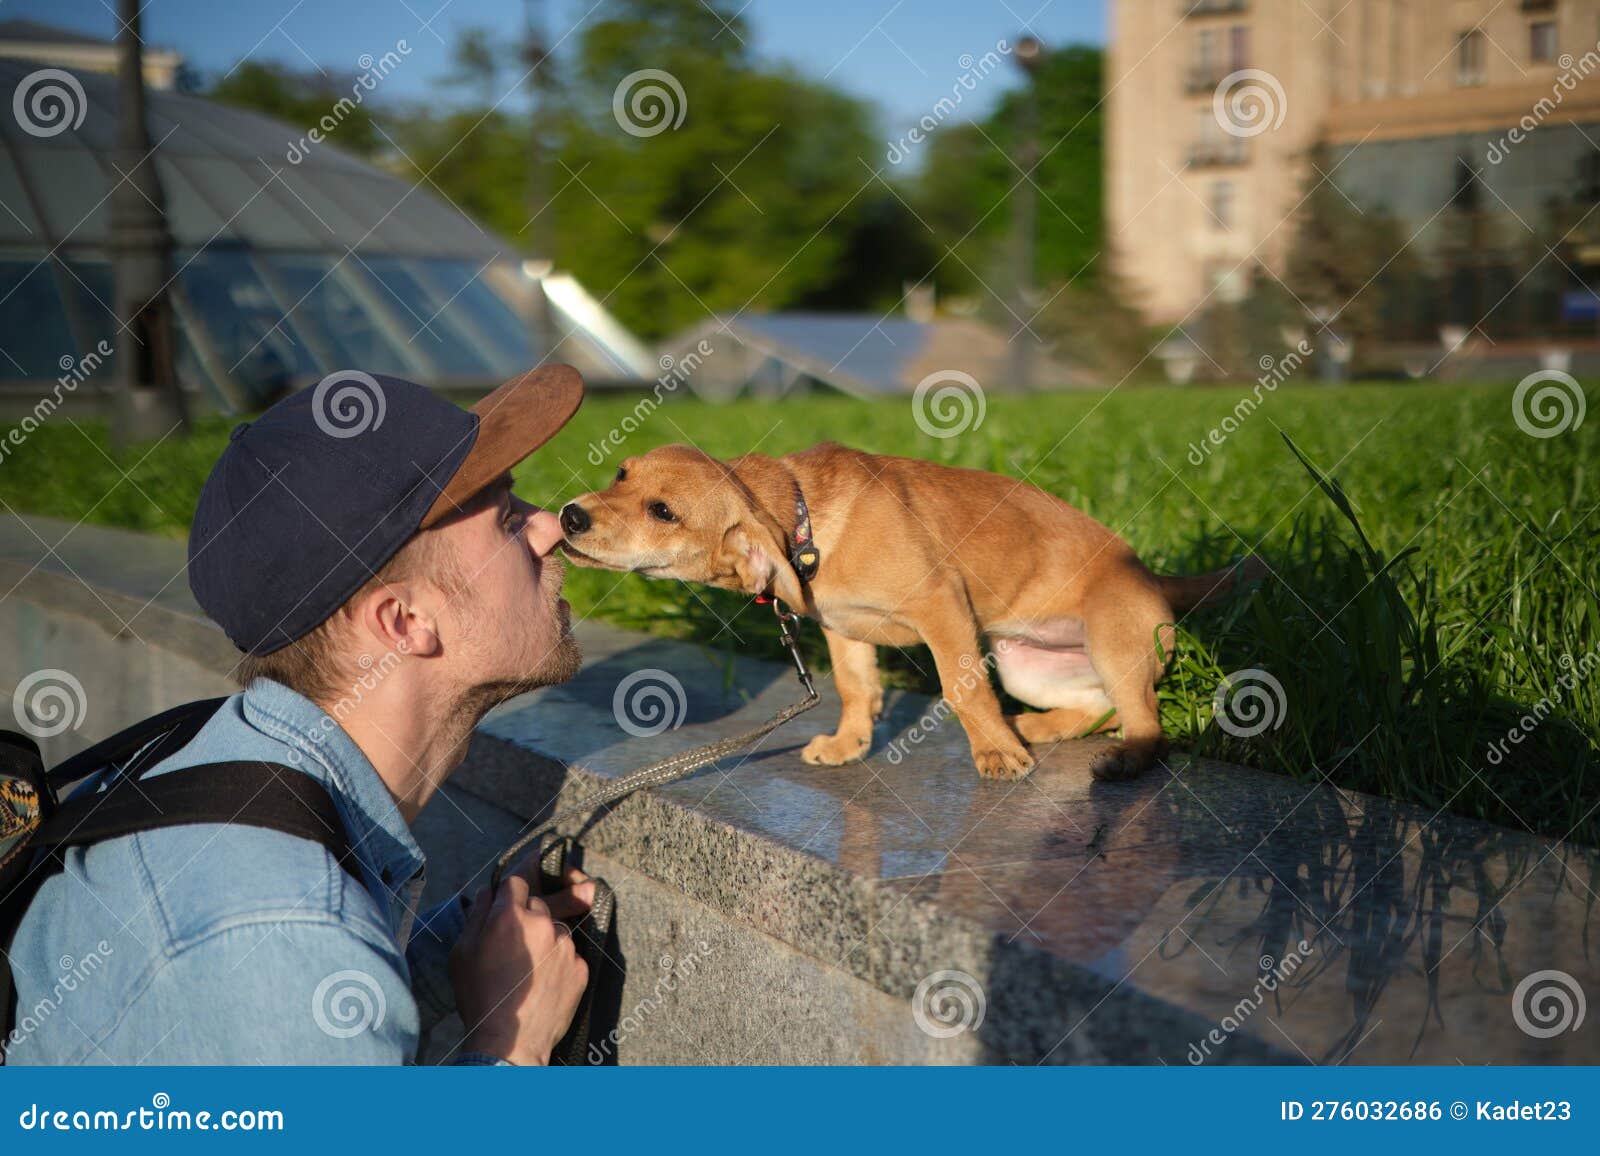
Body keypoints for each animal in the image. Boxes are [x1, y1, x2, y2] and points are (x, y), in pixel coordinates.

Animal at [563, 445, 1260, 778]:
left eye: (662, 511)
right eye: (619, 473)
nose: (569, 514)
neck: (807, 524)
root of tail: (1154, 576)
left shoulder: (941, 605)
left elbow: (961, 688)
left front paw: (995, 755)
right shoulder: (843, 631)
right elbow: (855, 686)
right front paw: (850, 743)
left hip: (1112, 643)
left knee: (1145, 721)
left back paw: (1117, 759)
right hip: (1024, 664)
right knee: (1097, 708)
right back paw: (1035, 728)